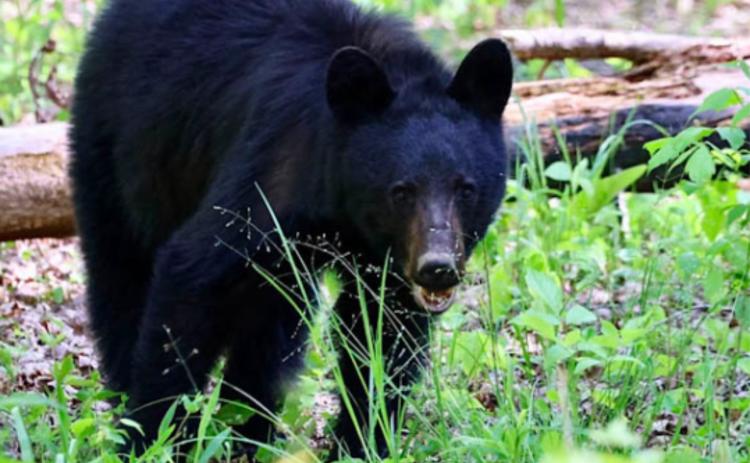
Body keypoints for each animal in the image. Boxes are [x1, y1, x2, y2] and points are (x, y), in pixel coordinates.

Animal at [69, 0, 513, 459]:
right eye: (401, 191)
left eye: (466, 188)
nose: (436, 267)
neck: (341, 210)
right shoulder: (270, 176)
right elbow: (190, 277)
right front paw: (151, 437)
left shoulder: (384, 267)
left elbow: (381, 338)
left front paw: (360, 443)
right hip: (117, 149)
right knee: (121, 274)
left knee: (270, 329)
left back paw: (251, 429)